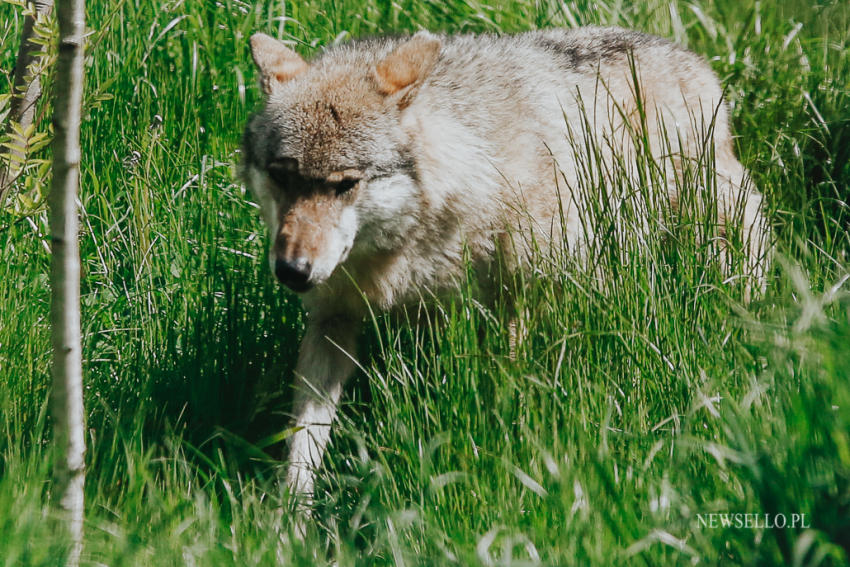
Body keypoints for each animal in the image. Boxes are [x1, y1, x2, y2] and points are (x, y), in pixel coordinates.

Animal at [238, 25, 768, 506]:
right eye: (282, 178)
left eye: (345, 185)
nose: (292, 270)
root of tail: (697, 64)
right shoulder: (333, 320)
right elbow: (302, 442)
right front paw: (291, 521)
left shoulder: (510, 307)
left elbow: (500, 400)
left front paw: (497, 466)